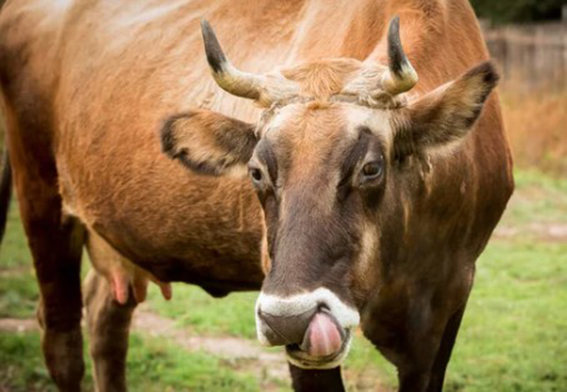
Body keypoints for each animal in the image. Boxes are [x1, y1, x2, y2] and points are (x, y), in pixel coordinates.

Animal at [0, 0, 516, 392]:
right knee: (62, 337)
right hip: (39, 194)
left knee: (107, 320)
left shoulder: (450, 299)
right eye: (256, 172)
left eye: (371, 168)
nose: (291, 319)